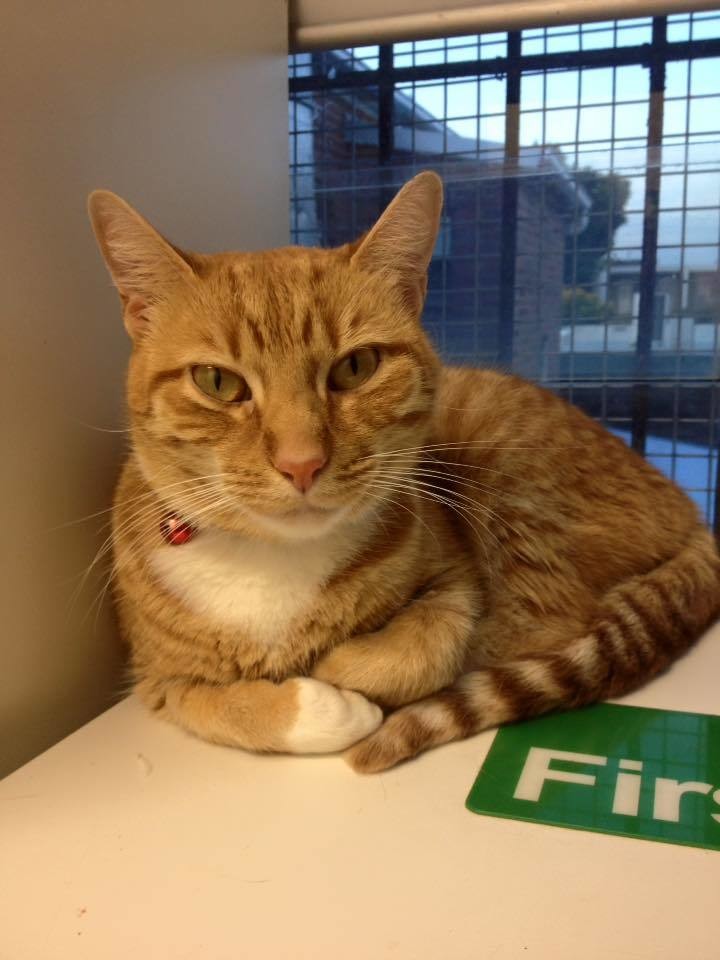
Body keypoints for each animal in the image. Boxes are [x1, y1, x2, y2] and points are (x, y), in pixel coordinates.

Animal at [88, 172, 720, 773]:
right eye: (217, 381)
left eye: (356, 367)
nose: (301, 463)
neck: (277, 565)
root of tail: (688, 506)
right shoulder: (157, 678)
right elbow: (222, 704)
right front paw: (318, 703)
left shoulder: (456, 582)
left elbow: (426, 645)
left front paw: (338, 670)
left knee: (552, 624)